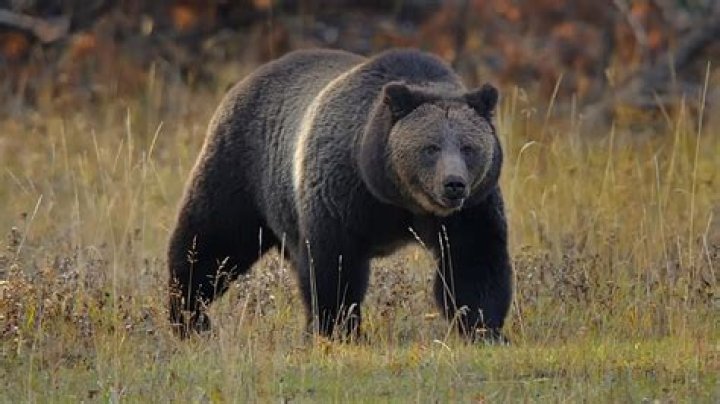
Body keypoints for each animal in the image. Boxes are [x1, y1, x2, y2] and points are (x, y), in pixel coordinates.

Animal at [168, 48, 512, 342]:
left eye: (468, 147)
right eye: (430, 147)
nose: (453, 184)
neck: (397, 196)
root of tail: (245, 80)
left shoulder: (471, 209)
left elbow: (474, 261)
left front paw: (484, 328)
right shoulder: (342, 194)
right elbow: (334, 265)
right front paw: (338, 330)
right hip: (241, 171)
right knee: (210, 242)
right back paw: (189, 318)